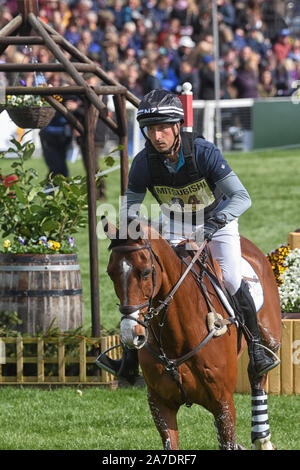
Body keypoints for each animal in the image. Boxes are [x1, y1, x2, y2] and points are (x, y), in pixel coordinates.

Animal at [102, 218, 282, 450]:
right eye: (110, 273)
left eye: (145, 272)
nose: (130, 334)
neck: (176, 338)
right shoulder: (160, 404)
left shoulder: (223, 402)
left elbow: (228, 438)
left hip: (271, 339)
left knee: (257, 375)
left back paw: (262, 439)